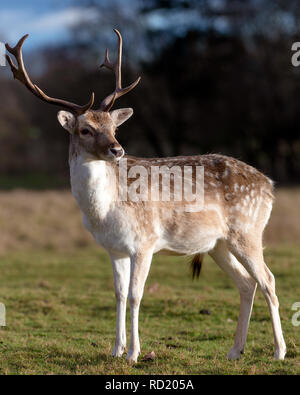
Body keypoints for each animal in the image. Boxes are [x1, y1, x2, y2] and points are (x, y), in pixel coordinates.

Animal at [5, 30, 286, 366]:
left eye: (113, 127)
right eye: (85, 130)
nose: (117, 149)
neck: (104, 211)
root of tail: (269, 185)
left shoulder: (145, 241)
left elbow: (136, 295)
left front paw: (133, 353)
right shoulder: (114, 249)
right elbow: (118, 294)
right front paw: (115, 349)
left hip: (248, 230)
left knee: (268, 279)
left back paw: (279, 351)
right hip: (218, 243)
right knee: (246, 283)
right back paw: (234, 351)